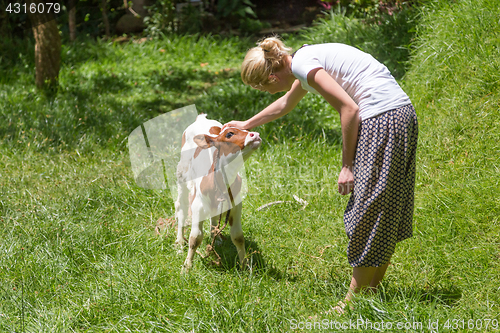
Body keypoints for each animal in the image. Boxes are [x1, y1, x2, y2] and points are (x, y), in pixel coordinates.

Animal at [175, 114, 262, 270]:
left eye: (246, 130)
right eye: (229, 134)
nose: (255, 134)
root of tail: (201, 118)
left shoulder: (236, 206)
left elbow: (238, 237)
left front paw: (244, 265)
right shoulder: (198, 206)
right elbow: (195, 238)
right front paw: (187, 266)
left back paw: (215, 237)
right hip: (182, 175)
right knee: (181, 208)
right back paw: (179, 242)